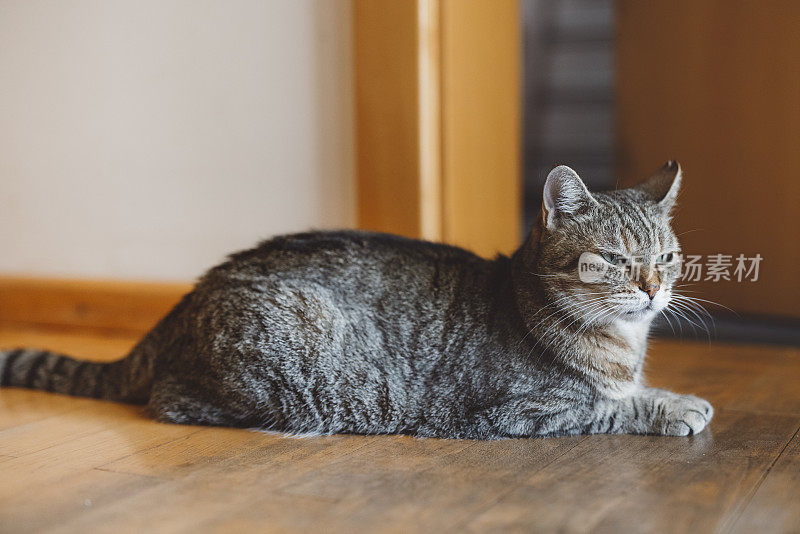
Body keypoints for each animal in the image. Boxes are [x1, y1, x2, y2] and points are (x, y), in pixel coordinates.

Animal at [0, 163, 712, 440]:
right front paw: (673, 410)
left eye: (667, 258)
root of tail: (182, 303)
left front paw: (676, 396)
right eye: (612, 260)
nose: (652, 288)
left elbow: (632, 394)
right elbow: (611, 411)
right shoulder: (519, 413)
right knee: (171, 400)